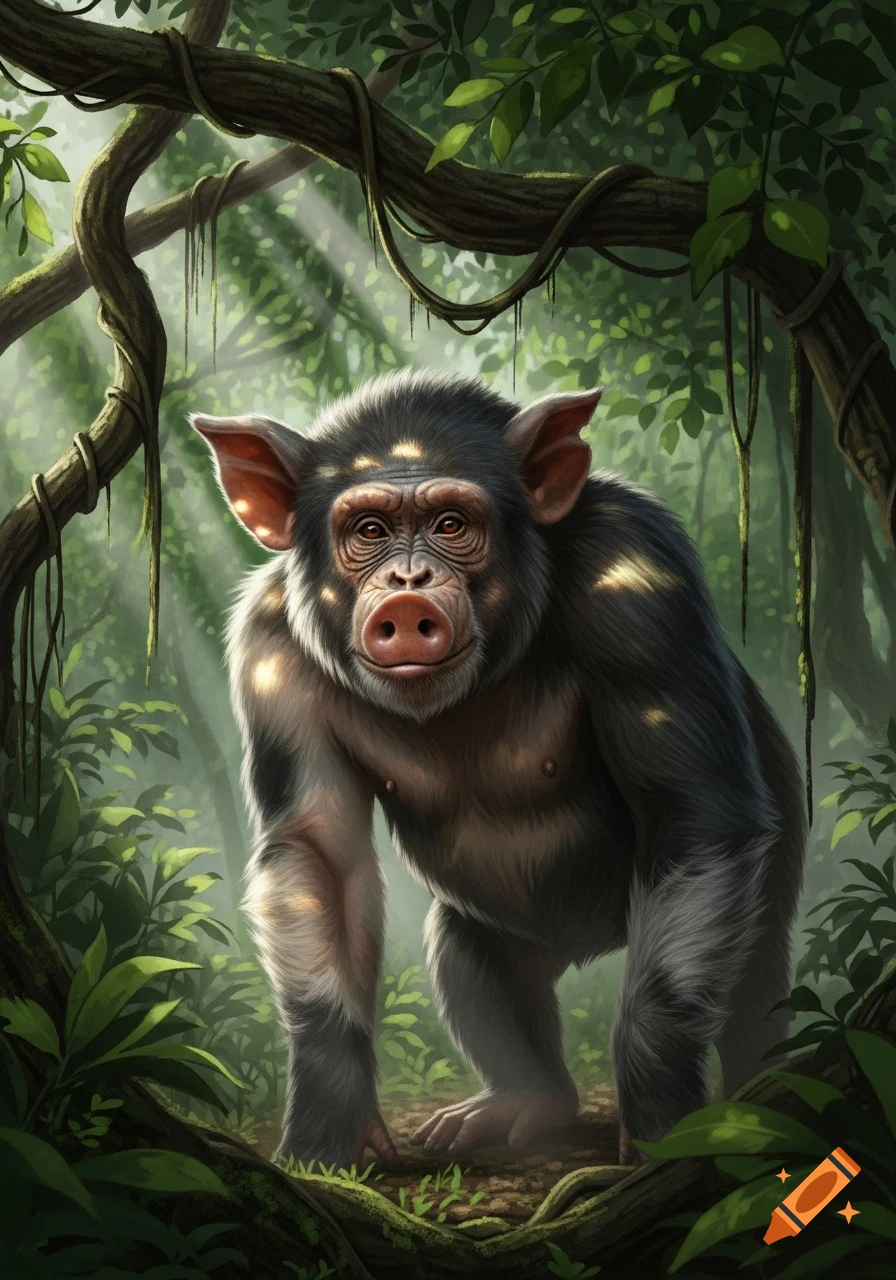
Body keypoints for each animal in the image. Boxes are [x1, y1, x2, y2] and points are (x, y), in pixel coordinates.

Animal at [191, 369, 806, 1169]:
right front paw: (328, 1117)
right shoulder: (270, 648)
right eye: (369, 531)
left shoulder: (638, 576)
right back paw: (526, 1100)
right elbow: (317, 853)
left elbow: (690, 809)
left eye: (453, 523)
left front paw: (661, 1116)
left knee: (754, 975)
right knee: (470, 955)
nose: (408, 584)